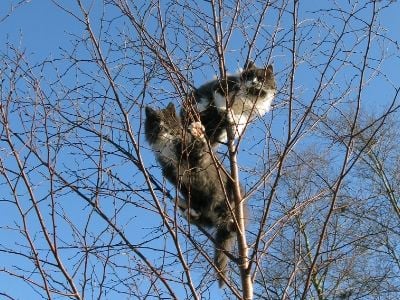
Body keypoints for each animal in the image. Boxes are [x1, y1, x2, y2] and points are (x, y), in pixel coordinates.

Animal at [144, 102, 244, 286]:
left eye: (166, 120)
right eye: (155, 121)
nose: (160, 126)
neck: (167, 144)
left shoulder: (194, 155)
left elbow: (200, 150)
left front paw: (198, 131)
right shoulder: (170, 173)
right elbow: (182, 182)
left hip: (227, 196)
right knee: (204, 218)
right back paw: (186, 208)